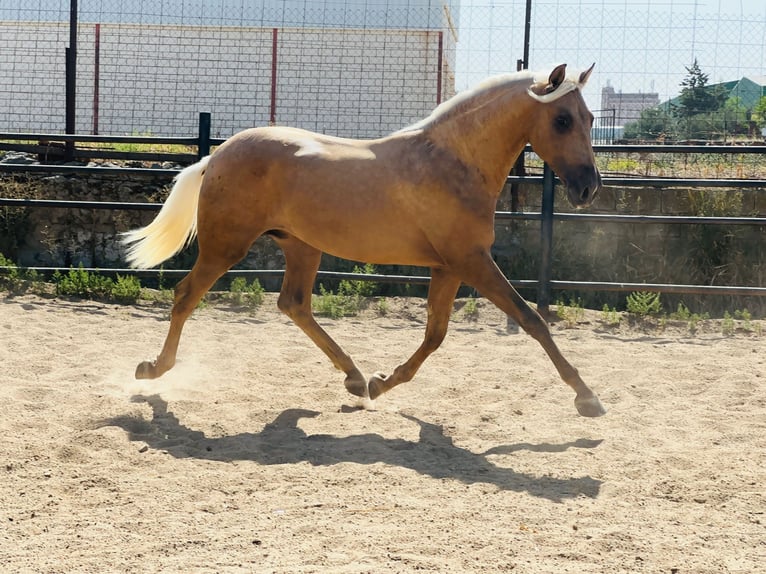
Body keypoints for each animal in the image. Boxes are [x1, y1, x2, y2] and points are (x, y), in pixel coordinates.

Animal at [124, 64, 608, 418]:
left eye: (589, 119)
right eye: (561, 119)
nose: (589, 188)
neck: (453, 161)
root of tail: (218, 154)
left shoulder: (449, 266)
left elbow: (435, 334)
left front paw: (381, 382)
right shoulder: (472, 262)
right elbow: (532, 320)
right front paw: (587, 397)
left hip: (301, 245)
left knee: (294, 304)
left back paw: (355, 377)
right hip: (227, 246)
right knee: (186, 294)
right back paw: (153, 369)